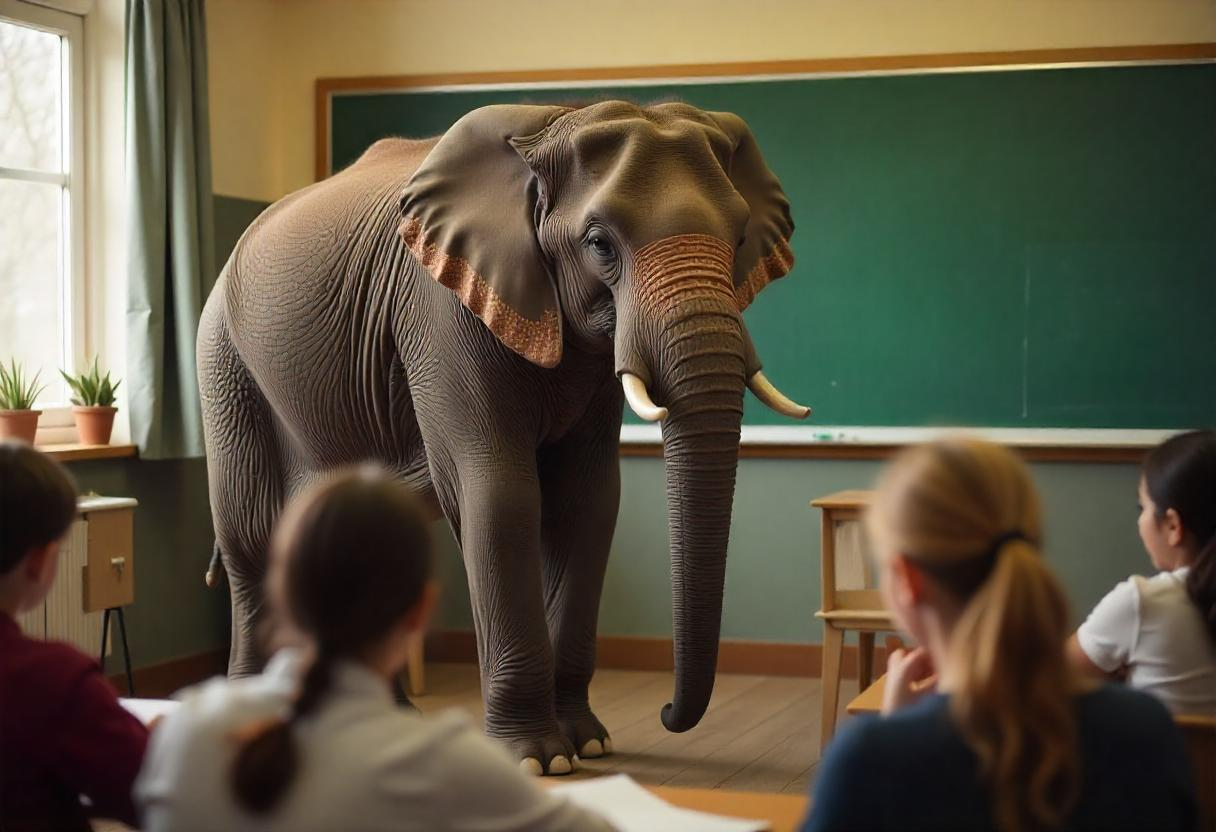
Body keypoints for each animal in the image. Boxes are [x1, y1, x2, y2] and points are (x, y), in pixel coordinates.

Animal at [196, 100, 807, 778]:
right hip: (225, 365)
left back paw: (387, 721)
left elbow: (588, 502)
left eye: (739, 240)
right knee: (251, 536)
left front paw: (590, 743)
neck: (556, 123)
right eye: (599, 243)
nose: (669, 714)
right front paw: (541, 761)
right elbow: (500, 496)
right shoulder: (441, 311)